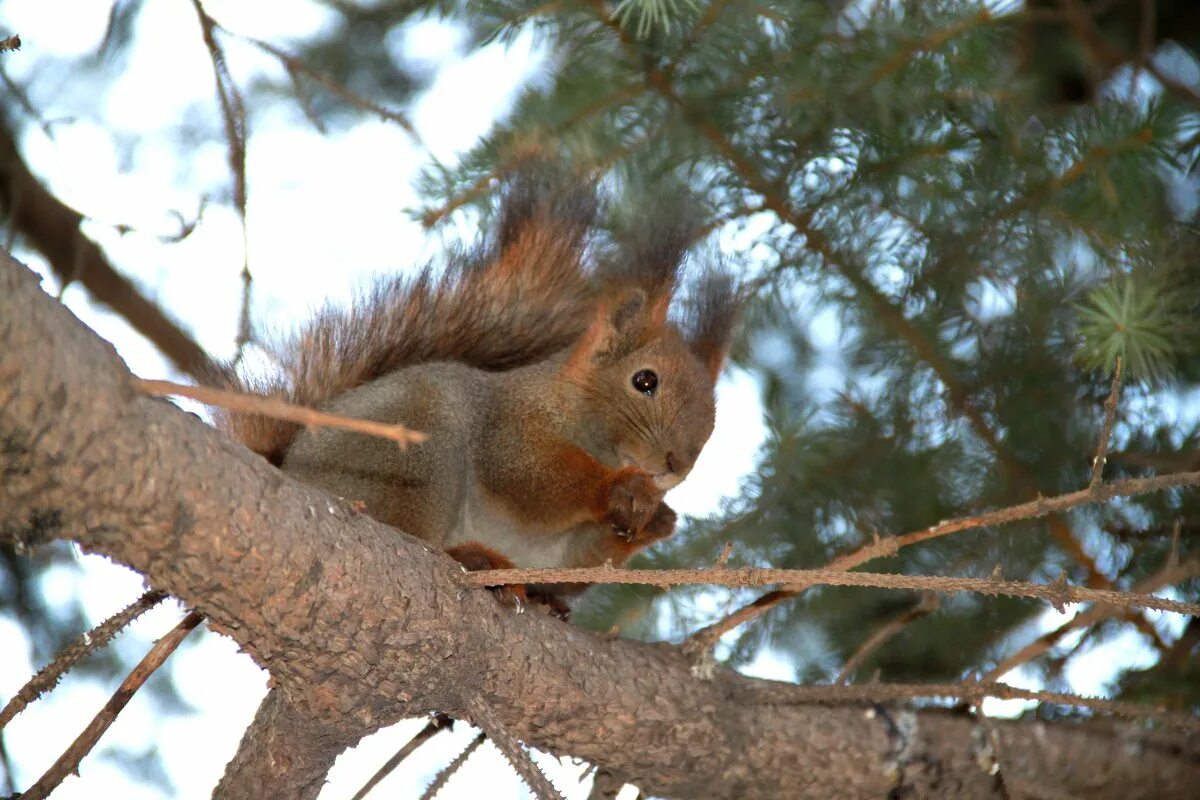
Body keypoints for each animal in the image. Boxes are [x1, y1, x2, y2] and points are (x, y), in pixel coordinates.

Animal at [216, 167, 739, 606]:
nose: (675, 465)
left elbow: (583, 562)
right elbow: (528, 477)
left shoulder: (562, 549)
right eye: (644, 380)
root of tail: (288, 471)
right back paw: (474, 560)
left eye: (714, 423)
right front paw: (617, 487)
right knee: (411, 534)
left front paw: (659, 519)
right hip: (412, 457)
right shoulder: (507, 424)